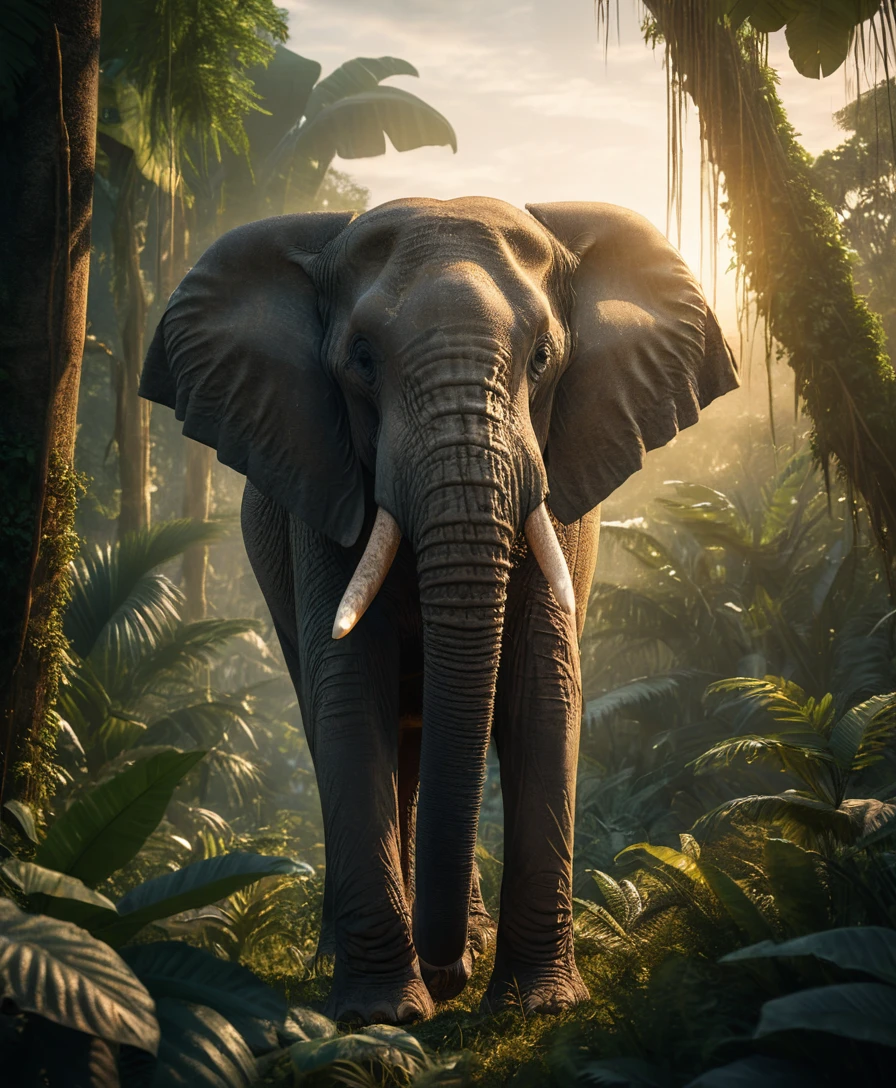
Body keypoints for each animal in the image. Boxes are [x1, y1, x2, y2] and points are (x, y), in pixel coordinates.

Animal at [140, 196, 738, 1024]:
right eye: (361, 360)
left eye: (543, 359)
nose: (449, 969)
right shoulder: (321, 486)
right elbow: (349, 695)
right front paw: (383, 1014)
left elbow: (542, 692)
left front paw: (537, 1007)